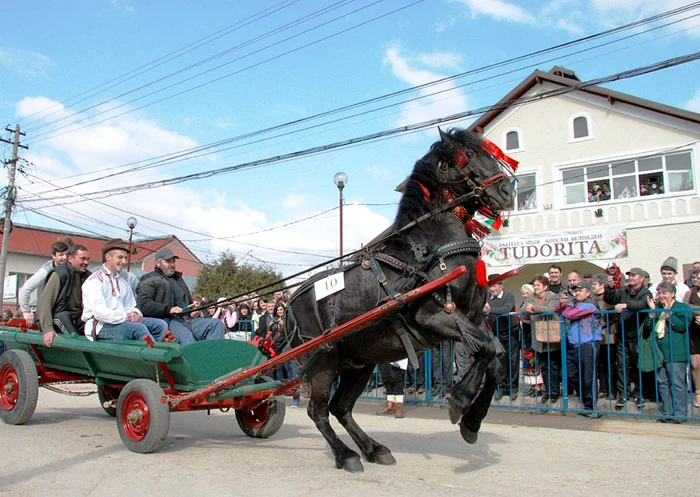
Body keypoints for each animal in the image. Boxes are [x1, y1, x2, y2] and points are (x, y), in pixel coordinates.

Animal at [286, 126, 520, 470]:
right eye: (467, 156)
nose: (506, 192)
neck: (431, 248)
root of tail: (289, 304)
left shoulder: (474, 317)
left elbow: (496, 360)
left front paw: (472, 421)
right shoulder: (434, 316)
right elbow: (488, 350)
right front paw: (460, 400)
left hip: (360, 362)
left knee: (340, 408)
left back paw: (373, 448)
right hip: (323, 361)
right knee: (318, 411)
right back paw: (346, 455)